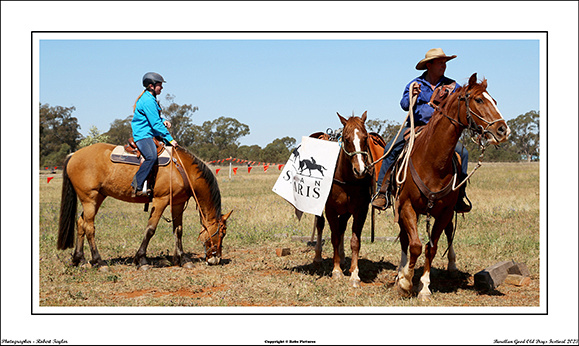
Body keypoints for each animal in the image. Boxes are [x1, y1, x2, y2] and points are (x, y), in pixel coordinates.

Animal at [57, 143, 233, 270]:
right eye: (222, 233)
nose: (216, 259)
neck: (182, 169)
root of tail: (74, 155)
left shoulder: (178, 202)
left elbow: (178, 230)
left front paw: (182, 259)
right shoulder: (161, 200)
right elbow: (150, 229)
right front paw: (141, 259)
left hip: (98, 197)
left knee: (80, 223)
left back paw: (79, 259)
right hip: (89, 198)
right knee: (89, 228)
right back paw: (99, 262)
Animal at [314, 112, 374, 288]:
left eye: (365, 137)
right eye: (346, 139)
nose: (360, 170)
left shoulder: (360, 211)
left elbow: (355, 241)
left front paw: (354, 274)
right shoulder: (330, 210)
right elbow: (333, 237)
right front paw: (336, 271)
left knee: (341, 228)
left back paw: (342, 257)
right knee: (320, 225)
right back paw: (318, 257)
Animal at [392, 73, 510, 300]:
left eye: (495, 101)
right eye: (478, 99)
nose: (503, 130)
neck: (432, 162)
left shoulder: (445, 211)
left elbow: (431, 247)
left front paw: (424, 287)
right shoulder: (407, 206)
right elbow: (415, 245)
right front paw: (405, 282)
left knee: (447, 232)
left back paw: (452, 266)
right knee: (404, 238)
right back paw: (401, 271)